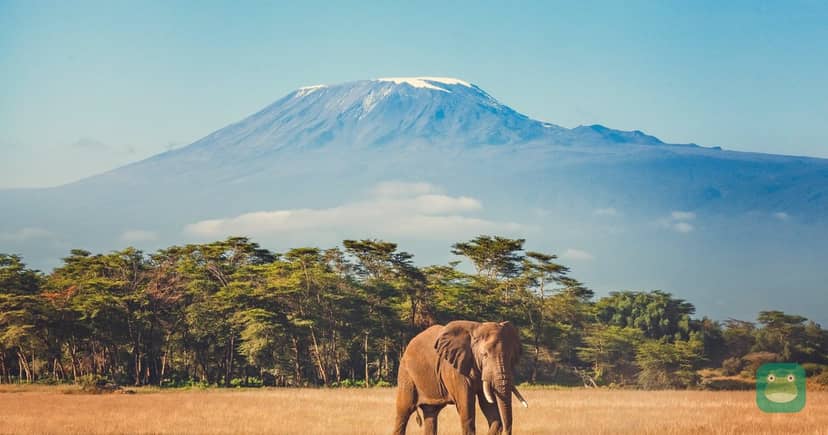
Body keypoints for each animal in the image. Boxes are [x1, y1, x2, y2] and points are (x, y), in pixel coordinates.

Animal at [393, 320, 528, 435]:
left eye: (511, 357)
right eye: (484, 355)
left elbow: (489, 407)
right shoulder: (454, 369)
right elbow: (467, 410)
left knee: (430, 413)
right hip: (406, 374)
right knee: (403, 411)